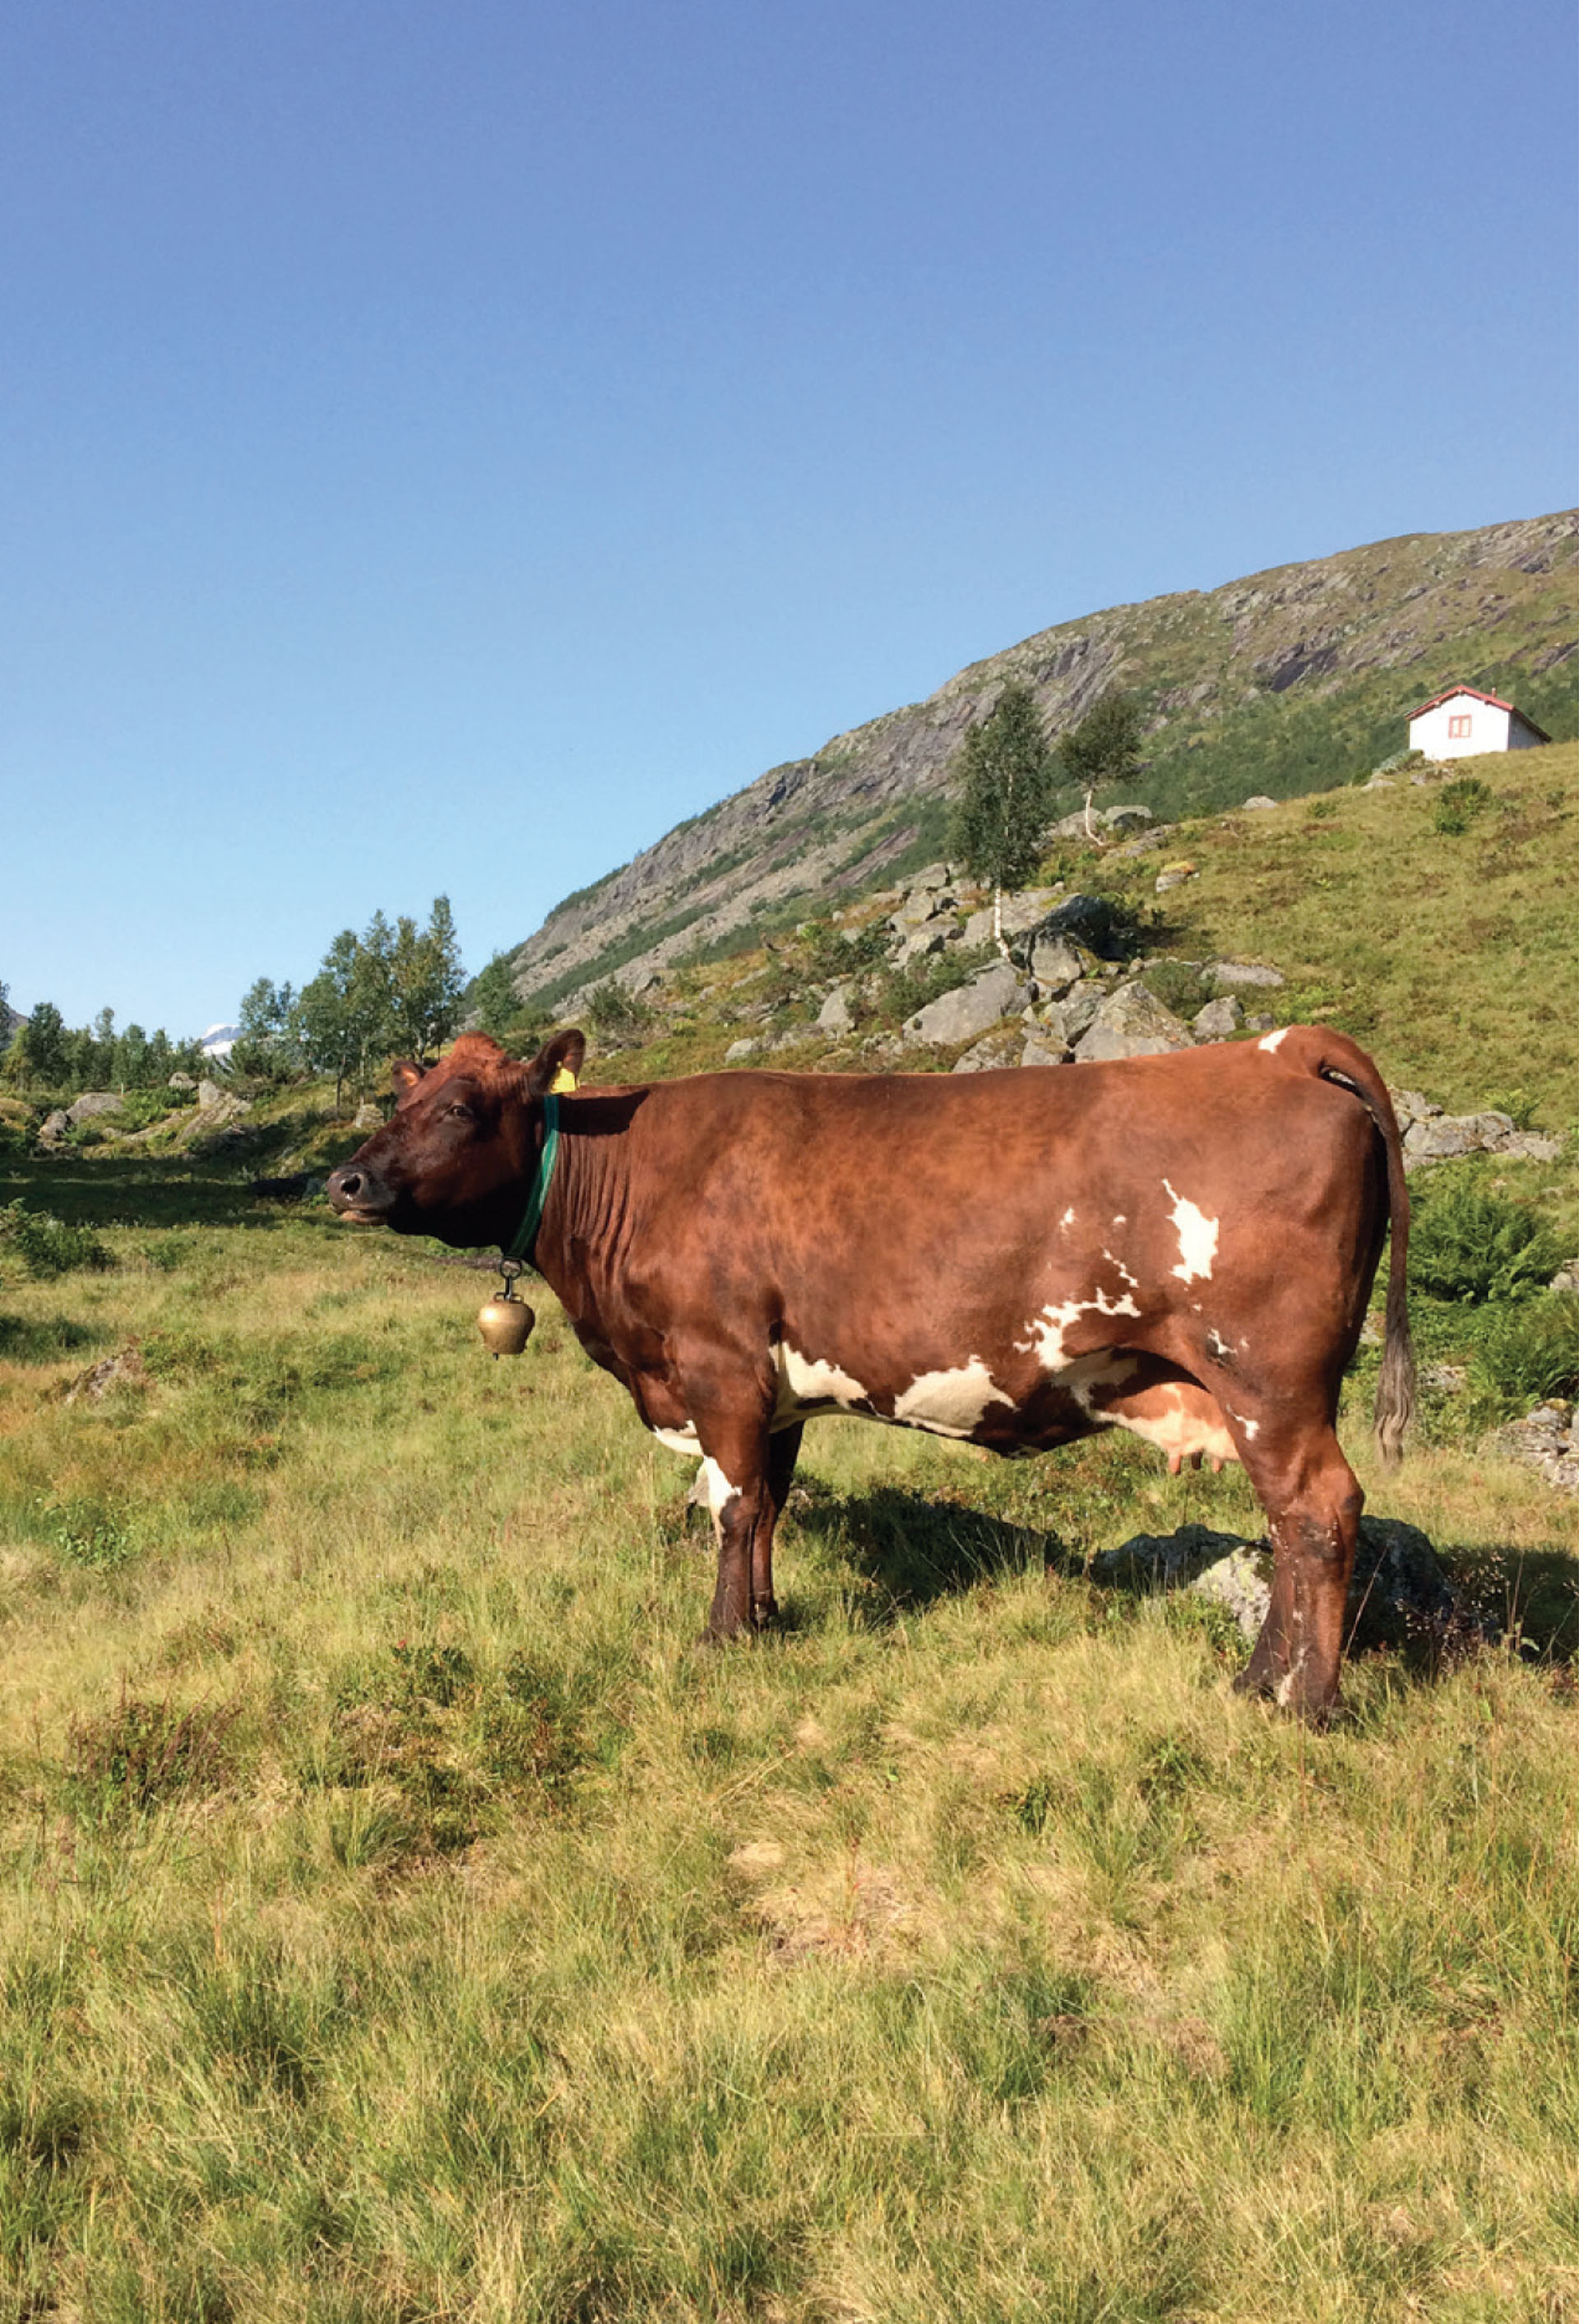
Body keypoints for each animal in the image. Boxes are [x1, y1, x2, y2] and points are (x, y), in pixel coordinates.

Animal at [326, 1024, 1414, 1719]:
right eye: (400, 1097)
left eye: (462, 1105)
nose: (344, 1179)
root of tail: (1286, 1043)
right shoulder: (776, 1392)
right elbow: (768, 1504)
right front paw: (767, 1620)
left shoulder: (717, 1364)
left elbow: (729, 1506)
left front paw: (720, 1636)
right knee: (1289, 1525)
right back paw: (1255, 1682)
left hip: (1268, 1376)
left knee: (1317, 1512)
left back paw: (1305, 1705)